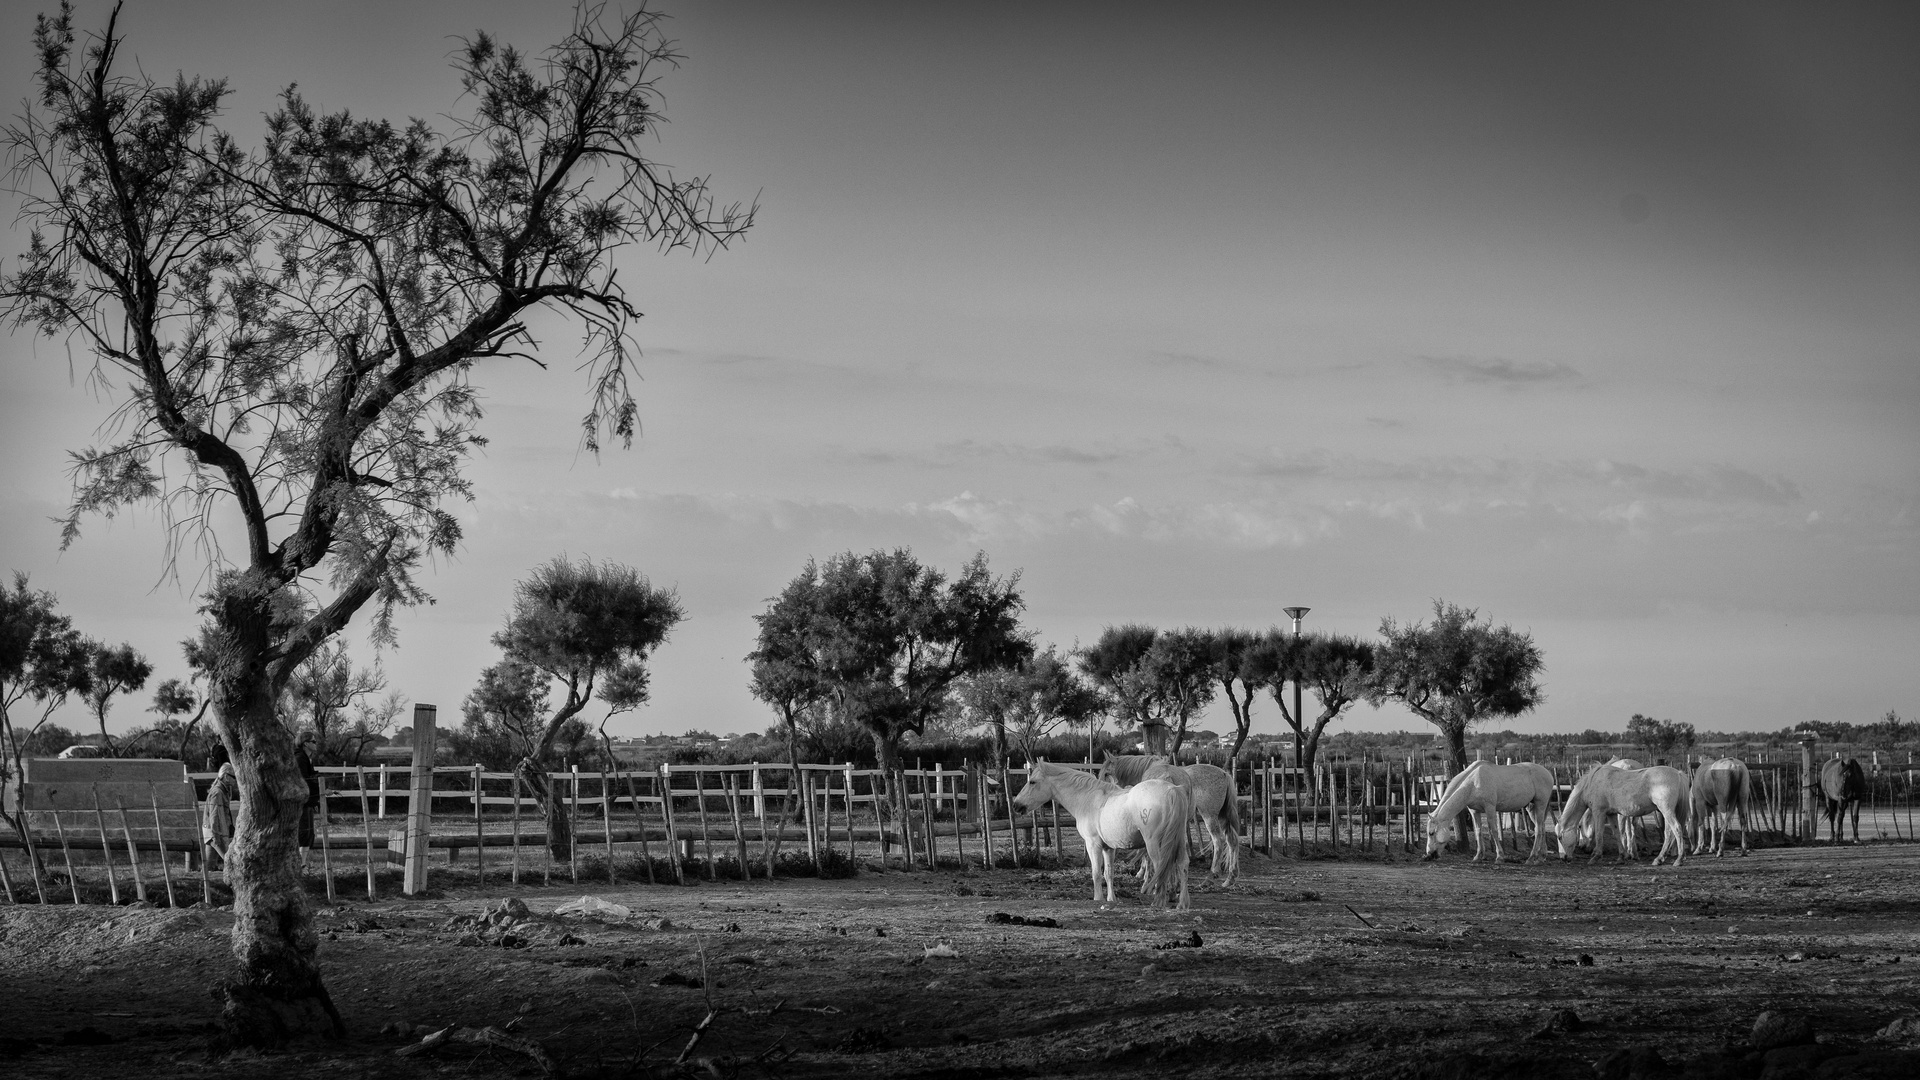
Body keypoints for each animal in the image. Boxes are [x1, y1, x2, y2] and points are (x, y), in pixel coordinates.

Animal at [1013, 757, 1190, 907]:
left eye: (1032, 782)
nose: (1016, 805)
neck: (1087, 799)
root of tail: (1172, 789)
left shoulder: (1093, 845)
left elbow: (1096, 873)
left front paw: (1097, 898)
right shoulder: (1108, 848)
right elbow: (1108, 873)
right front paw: (1111, 899)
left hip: (1154, 843)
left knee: (1162, 866)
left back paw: (1159, 901)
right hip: (1179, 840)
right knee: (1182, 864)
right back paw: (1182, 903)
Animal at [1098, 753, 1244, 880]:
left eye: (1106, 773)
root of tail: (1224, 774)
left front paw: (1141, 873)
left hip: (1209, 816)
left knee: (1218, 840)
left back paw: (1213, 873)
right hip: (1221, 817)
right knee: (1231, 840)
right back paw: (1230, 874)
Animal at [1420, 760, 1551, 860]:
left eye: (1431, 833)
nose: (1429, 855)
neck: (1473, 783)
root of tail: (1548, 772)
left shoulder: (1490, 808)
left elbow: (1494, 831)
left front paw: (1500, 856)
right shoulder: (1474, 811)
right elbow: (1478, 831)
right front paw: (1478, 856)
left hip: (1540, 804)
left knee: (1538, 829)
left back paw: (1531, 858)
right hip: (1531, 808)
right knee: (1541, 827)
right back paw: (1542, 856)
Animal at [1551, 757, 1689, 864]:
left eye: (1559, 837)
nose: (1563, 858)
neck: (1592, 783)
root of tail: (1678, 774)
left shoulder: (1599, 812)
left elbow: (1599, 834)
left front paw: (1596, 857)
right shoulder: (1611, 814)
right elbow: (1617, 833)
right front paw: (1621, 857)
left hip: (1666, 810)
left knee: (1676, 829)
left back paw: (1678, 859)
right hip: (1666, 812)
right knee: (1669, 832)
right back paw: (1659, 858)